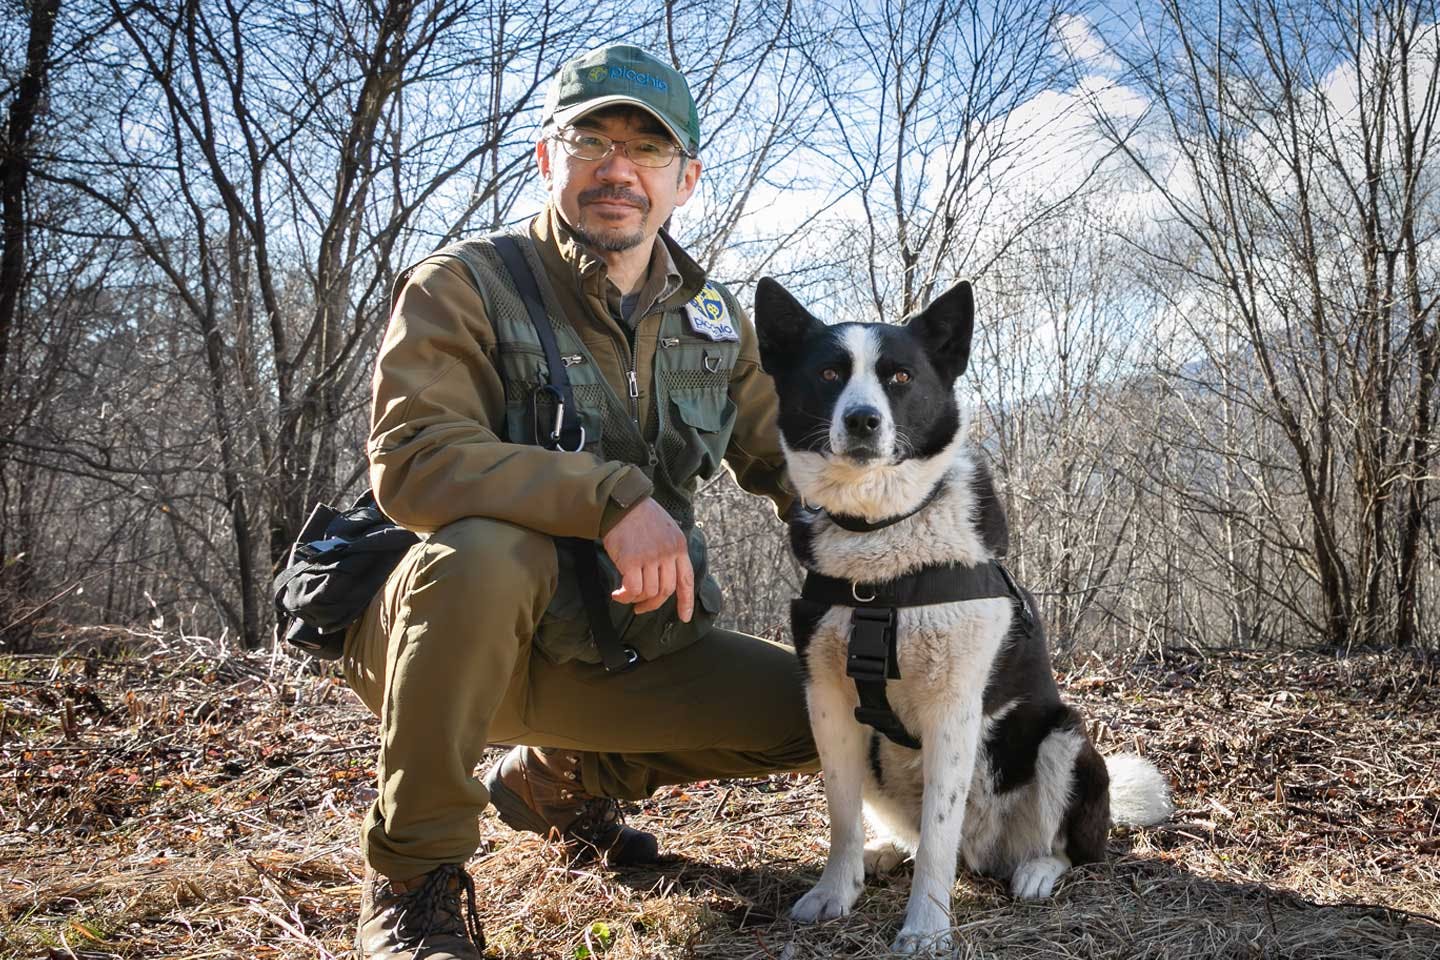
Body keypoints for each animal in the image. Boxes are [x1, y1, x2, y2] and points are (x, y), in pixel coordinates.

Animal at [754, 277, 1169, 955]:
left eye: (899, 376)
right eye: (828, 373)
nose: (863, 420)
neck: (883, 550)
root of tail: (987, 852)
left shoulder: (954, 705)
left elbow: (938, 837)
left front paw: (926, 929)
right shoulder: (828, 699)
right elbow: (841, 814)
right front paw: (836, 891)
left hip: (1064, 737)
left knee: (1067, 848)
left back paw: (1036, 870)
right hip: (880, 756)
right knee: (911, 833)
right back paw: (883, 852)